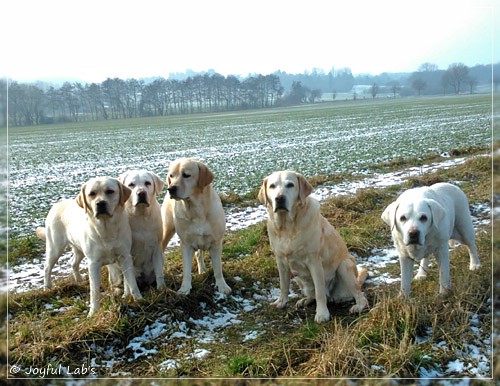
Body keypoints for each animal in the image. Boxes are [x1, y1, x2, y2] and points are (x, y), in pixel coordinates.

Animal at [36, 178, 143, 316]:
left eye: (110, 191)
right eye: (92, 193)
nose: (100, 203)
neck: (106, 230)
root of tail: (57, 204)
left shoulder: (125, 256)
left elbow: (131, 281)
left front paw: (139, 299)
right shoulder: (94, 262)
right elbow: (94, 290)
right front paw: (93, 312)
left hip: (79, 249)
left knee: (73, 263)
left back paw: (79, 280)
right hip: (55, 247)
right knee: (47, 267)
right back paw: (47, 287)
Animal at [161, 158, 231, 294]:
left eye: (186, 175)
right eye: (171, 176)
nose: (170, 189)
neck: (196, 210)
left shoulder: (216, 243)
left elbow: (218, 269)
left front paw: (222, 286)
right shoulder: (186, 244)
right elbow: (186, 271)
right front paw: (184, 289)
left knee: (199, 254)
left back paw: (202, 269)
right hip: (167, 230)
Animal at [260, 171, 370, 322]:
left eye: (290, 185)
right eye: (272, 186)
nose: (279, 198)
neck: (287, 227)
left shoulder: (314, 262)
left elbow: (319, 292)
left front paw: (322, 314)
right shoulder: (281, 261)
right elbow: (283, 285)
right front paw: (281, 302)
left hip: (344, 266)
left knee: (360, 296)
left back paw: (358, 306)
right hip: (297, 275)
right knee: (311, 293)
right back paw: (305, 300)